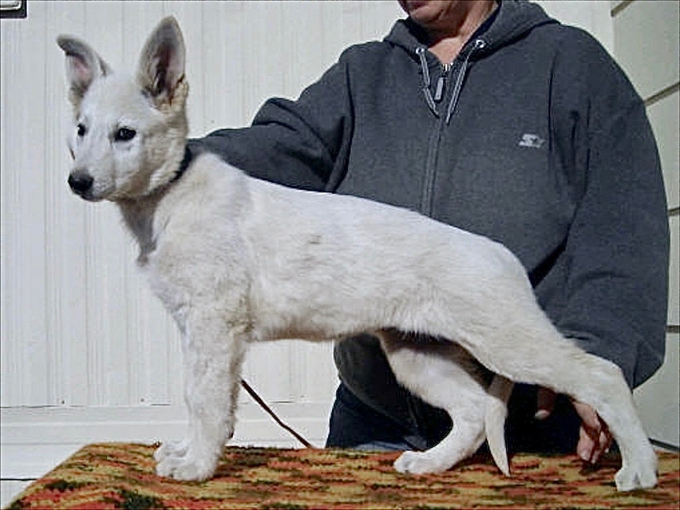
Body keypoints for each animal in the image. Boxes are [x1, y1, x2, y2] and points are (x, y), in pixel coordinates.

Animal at [59, 17, 660, 492]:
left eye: (125, 134)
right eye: (81, 130)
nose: (77, 182)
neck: (170, 193)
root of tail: (502, 257)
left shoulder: (214, 326)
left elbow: (204, 401)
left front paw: (198, 467)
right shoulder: (201, 333)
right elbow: (201, 398)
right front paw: (188, 453)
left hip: (507, 340)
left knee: (602, 375)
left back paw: (639, 470)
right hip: (417, 352)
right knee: (472, 411)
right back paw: (428, 463)